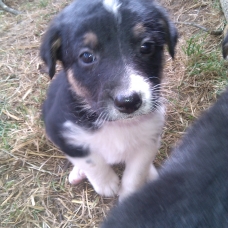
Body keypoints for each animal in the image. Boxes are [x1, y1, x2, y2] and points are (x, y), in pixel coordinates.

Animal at [40, 0, 177, 200]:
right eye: (87, 56)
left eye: (146, 46)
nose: (129, 102)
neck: (116, 124)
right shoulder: (61, 132)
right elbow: (92, 161)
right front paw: (107, 184)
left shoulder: (149, 139)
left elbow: (136, 173)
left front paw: (130, 195)